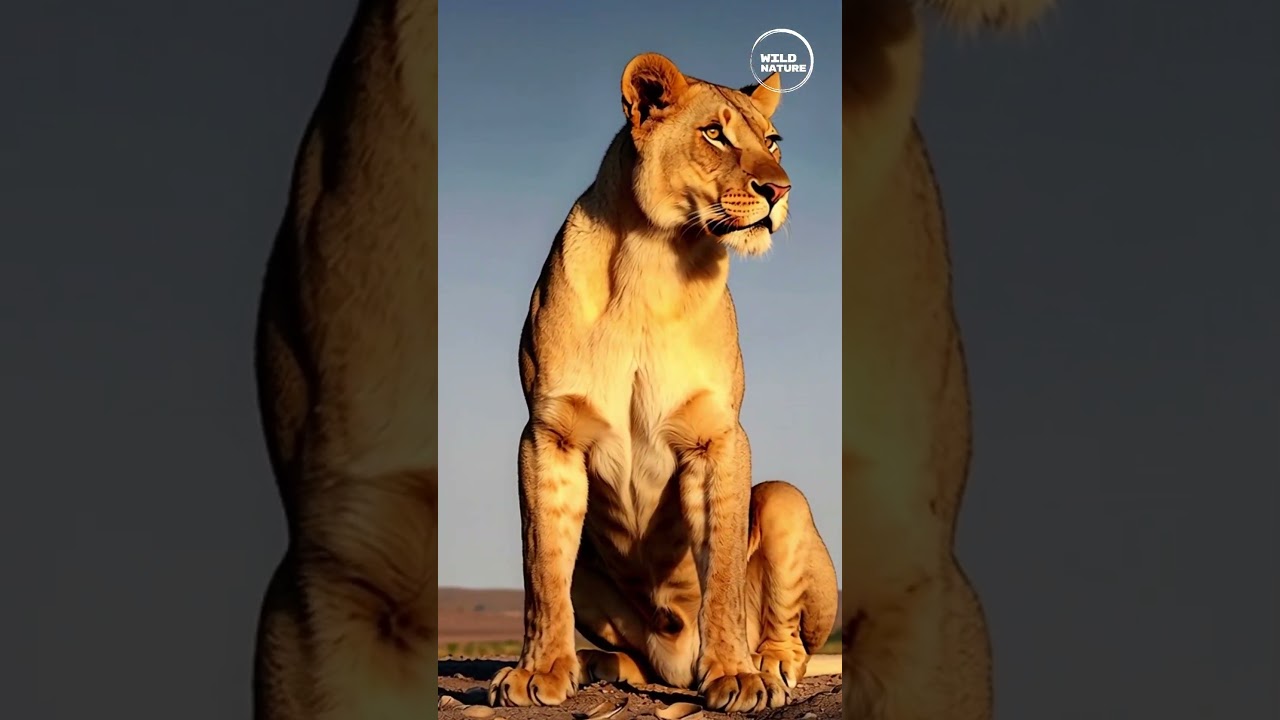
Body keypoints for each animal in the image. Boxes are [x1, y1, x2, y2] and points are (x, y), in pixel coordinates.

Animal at [485, 53, 838, 715]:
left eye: (773, 141)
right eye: (715, 134)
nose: (780, 190)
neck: (651, 262)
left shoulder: (718, 437)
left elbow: (721, 573)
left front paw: (737, 676)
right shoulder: (548, 434)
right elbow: (542, 569)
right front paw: (537, 672)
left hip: (785, 499)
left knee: (792, 639)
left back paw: (770, 666)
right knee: (634, 649)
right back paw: (600, 665)